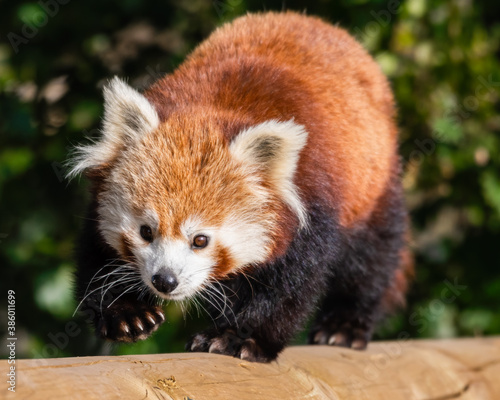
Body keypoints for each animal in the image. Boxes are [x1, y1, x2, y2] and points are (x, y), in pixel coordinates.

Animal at [71, 11, 414, 362]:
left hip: (374, 183)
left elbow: (291, 285)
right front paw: (127, 314)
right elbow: (97, 253)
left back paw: (345, 325)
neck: (211, 111)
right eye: (145, 231)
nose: (164, 280)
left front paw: (238, 337)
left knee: (372, 258)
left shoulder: (313, 200)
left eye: (200, 240)